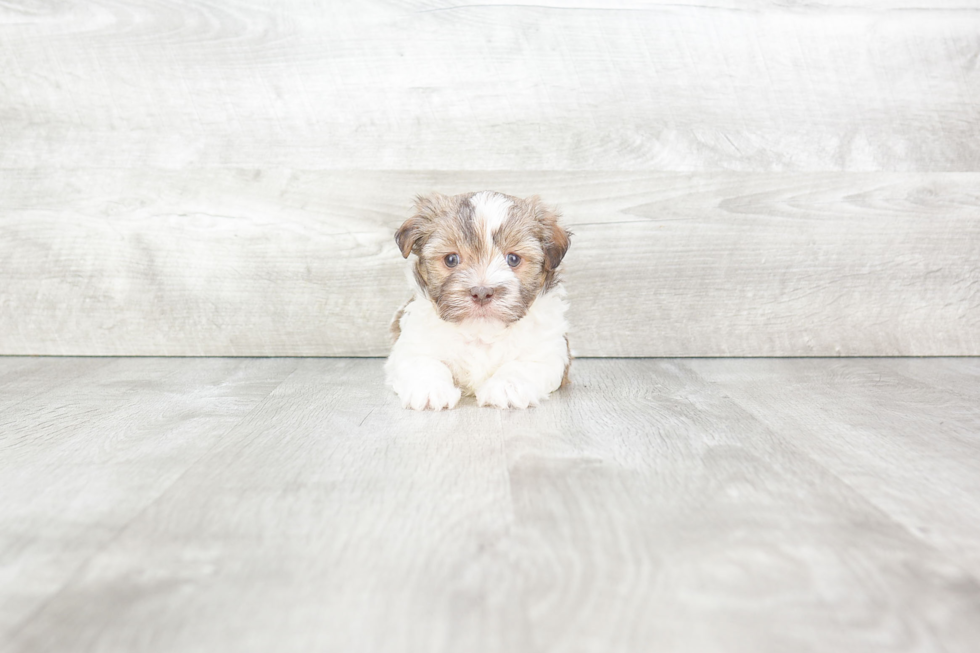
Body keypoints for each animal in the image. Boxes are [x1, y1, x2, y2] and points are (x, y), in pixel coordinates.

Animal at [384, 191, 572, 410]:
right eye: (451, 260)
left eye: (513, 259)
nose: (482, 292)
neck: (480, 333)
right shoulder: (412, 345)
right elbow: (424, 362)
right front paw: (430, 388)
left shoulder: (548, 352)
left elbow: (522, 365)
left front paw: (506, 386)